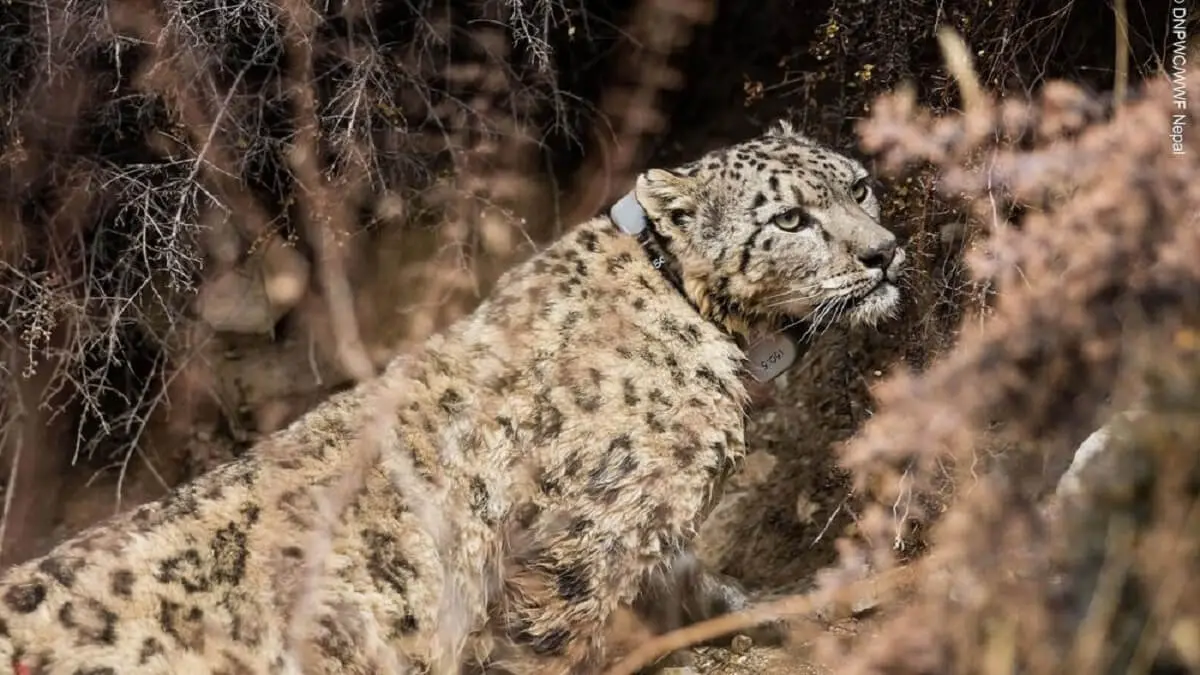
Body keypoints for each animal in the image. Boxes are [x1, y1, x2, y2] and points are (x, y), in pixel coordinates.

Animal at [0, 118, 906, 675]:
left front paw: (784, 604)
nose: (885, 253)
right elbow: (552, 637)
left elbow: (697, 582)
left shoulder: (654, 510)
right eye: (789, 220)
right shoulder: (593, 528)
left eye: (857, 184)